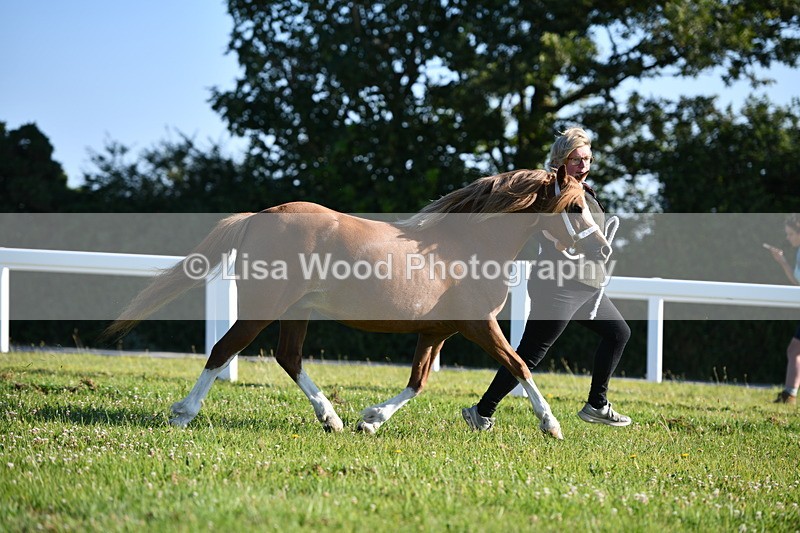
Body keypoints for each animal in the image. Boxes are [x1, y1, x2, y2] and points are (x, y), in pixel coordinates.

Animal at [104, 166, 612, 439]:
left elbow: (418, 382)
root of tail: (258, 216)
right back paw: (183, 414)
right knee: (223, 350)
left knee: (288, 357)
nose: (603, 250)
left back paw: (332, 419)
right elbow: (520, 364)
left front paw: (370, 420)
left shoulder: (437, 332)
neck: (468, 247)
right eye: (574, 207)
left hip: (298, 311)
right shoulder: (477, 324)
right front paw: (551, 425)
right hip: (264, 308)